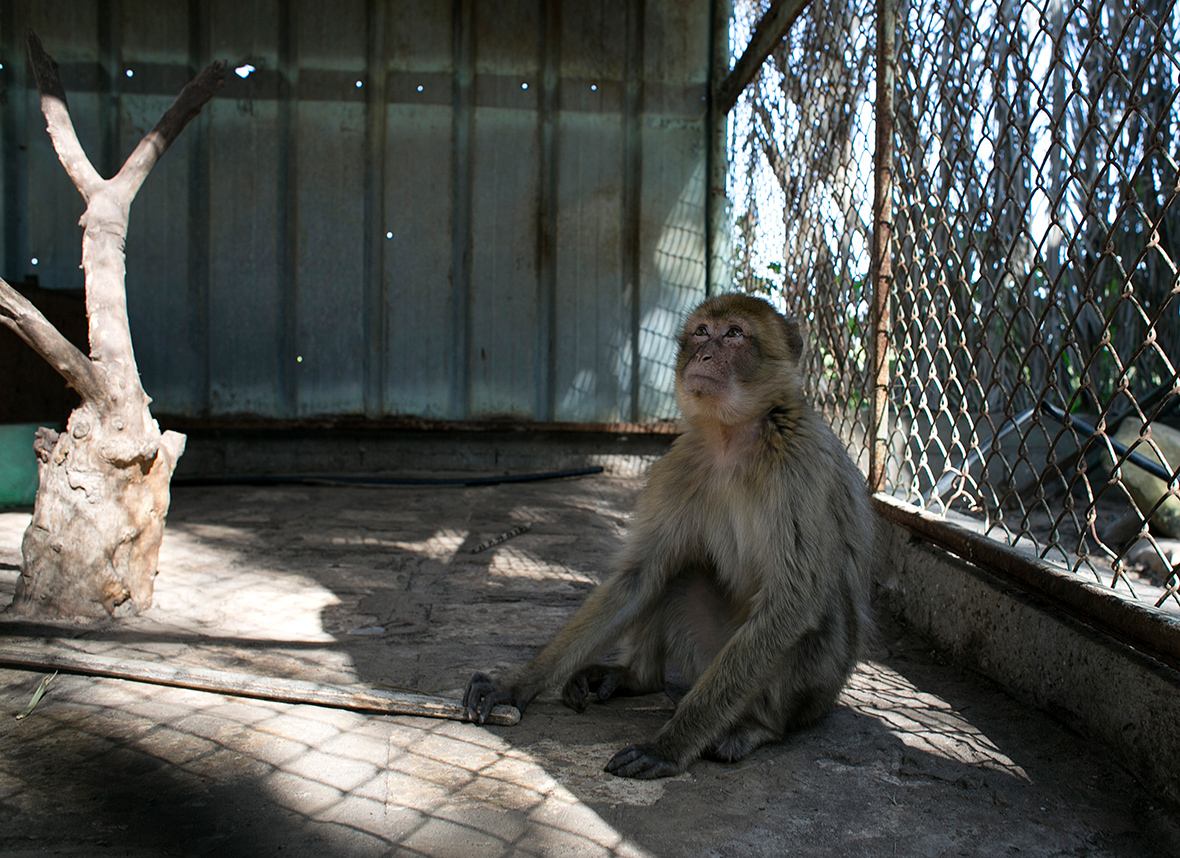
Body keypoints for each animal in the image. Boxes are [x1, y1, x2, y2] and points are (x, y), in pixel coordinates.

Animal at [464, 293, 873, 778]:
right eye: (702, 332)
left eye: (734, 333)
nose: (704, 355)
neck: (732, 438)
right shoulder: (680, 463)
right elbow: (640, 577)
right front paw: (518, 683)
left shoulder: (800, 460)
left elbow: (792, 602)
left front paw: (670, 744)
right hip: (705, 655)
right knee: (676, 574)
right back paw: (638, 678)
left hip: (805, 687)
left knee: (816, 616)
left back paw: (757, 726)